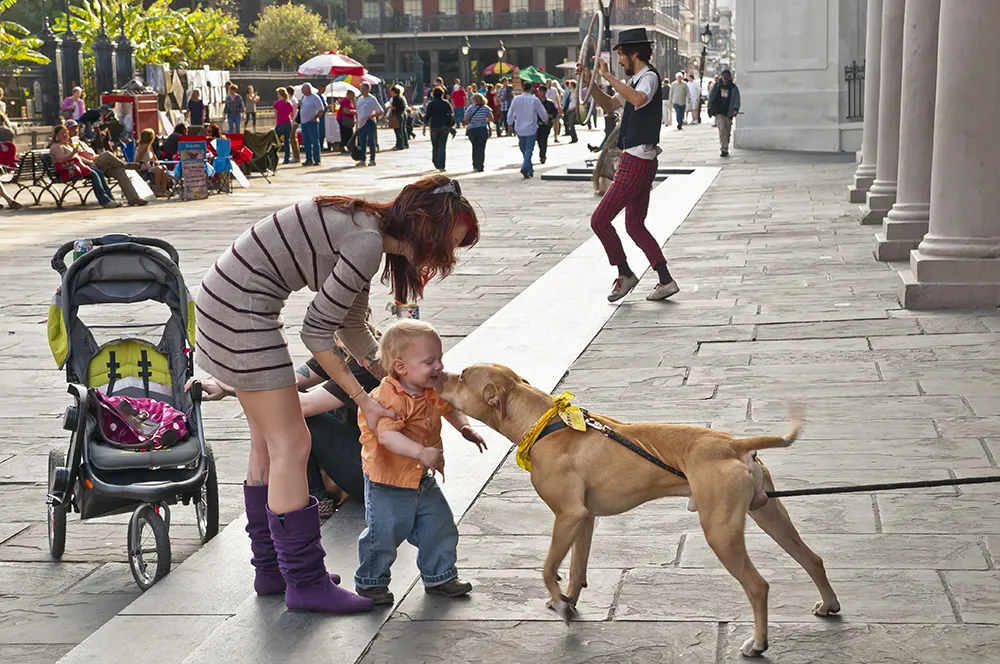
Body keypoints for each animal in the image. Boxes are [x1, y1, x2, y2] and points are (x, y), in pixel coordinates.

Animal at [442, 364, 840, 660]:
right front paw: (568, 601)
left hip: (721, 530)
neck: (545, 424)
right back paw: (829, 604)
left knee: (758, 585)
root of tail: (735, 444)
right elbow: (576, 569)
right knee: (813, 559)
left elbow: (547, 568)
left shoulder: (567, 515)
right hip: (769, 513)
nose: (439, 374)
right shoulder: (583, 518)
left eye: (462, 377)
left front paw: (561, 607)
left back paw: (758, 644)